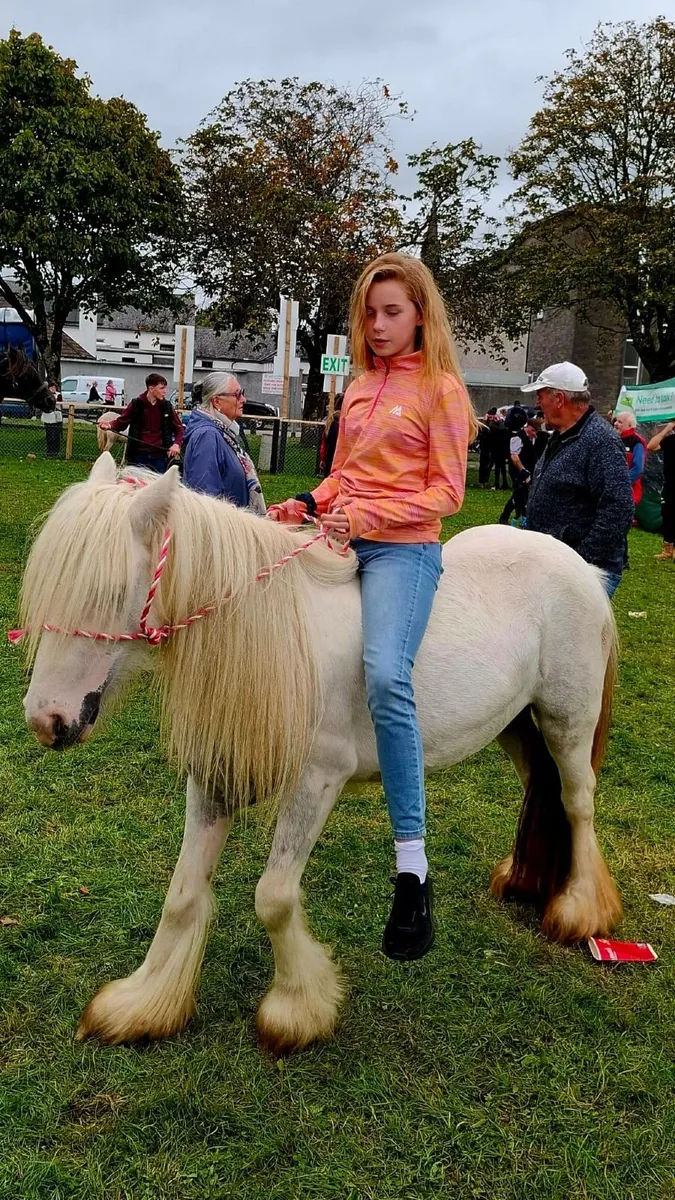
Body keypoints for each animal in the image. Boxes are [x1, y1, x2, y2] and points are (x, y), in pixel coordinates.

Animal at [19, 454, 623, 1054]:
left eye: (111, 589)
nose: (45, 722)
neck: (277, 635)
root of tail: (582, 569)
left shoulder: (316, 782)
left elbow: (274, 897)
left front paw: (296, 1012)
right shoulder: (216, 778)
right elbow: (183, 894)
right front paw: (140, 1006)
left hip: (567, 720)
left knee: (577, 802)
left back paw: (579, 910)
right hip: (517, 725)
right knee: (541, 789)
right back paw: (525, 882)